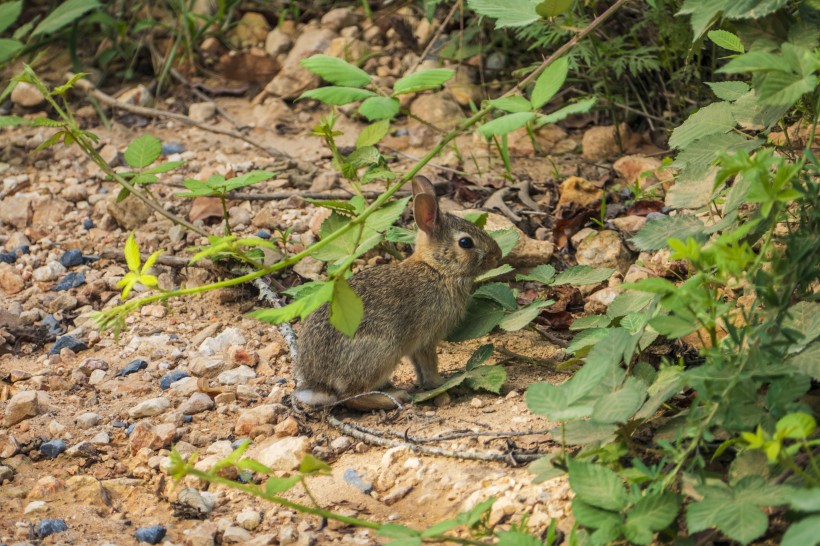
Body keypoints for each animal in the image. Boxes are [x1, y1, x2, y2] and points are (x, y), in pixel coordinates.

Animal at [292, 174, 502, 408]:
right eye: (465, 242)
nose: (498, 255)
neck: (437, 269)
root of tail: (317, 384)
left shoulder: (414, 346)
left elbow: (419, 367)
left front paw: (426, 384)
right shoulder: (427, 338)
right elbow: (429, 363)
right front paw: (440, 383)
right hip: (381, 352)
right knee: (351, 396)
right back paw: (395, 397)